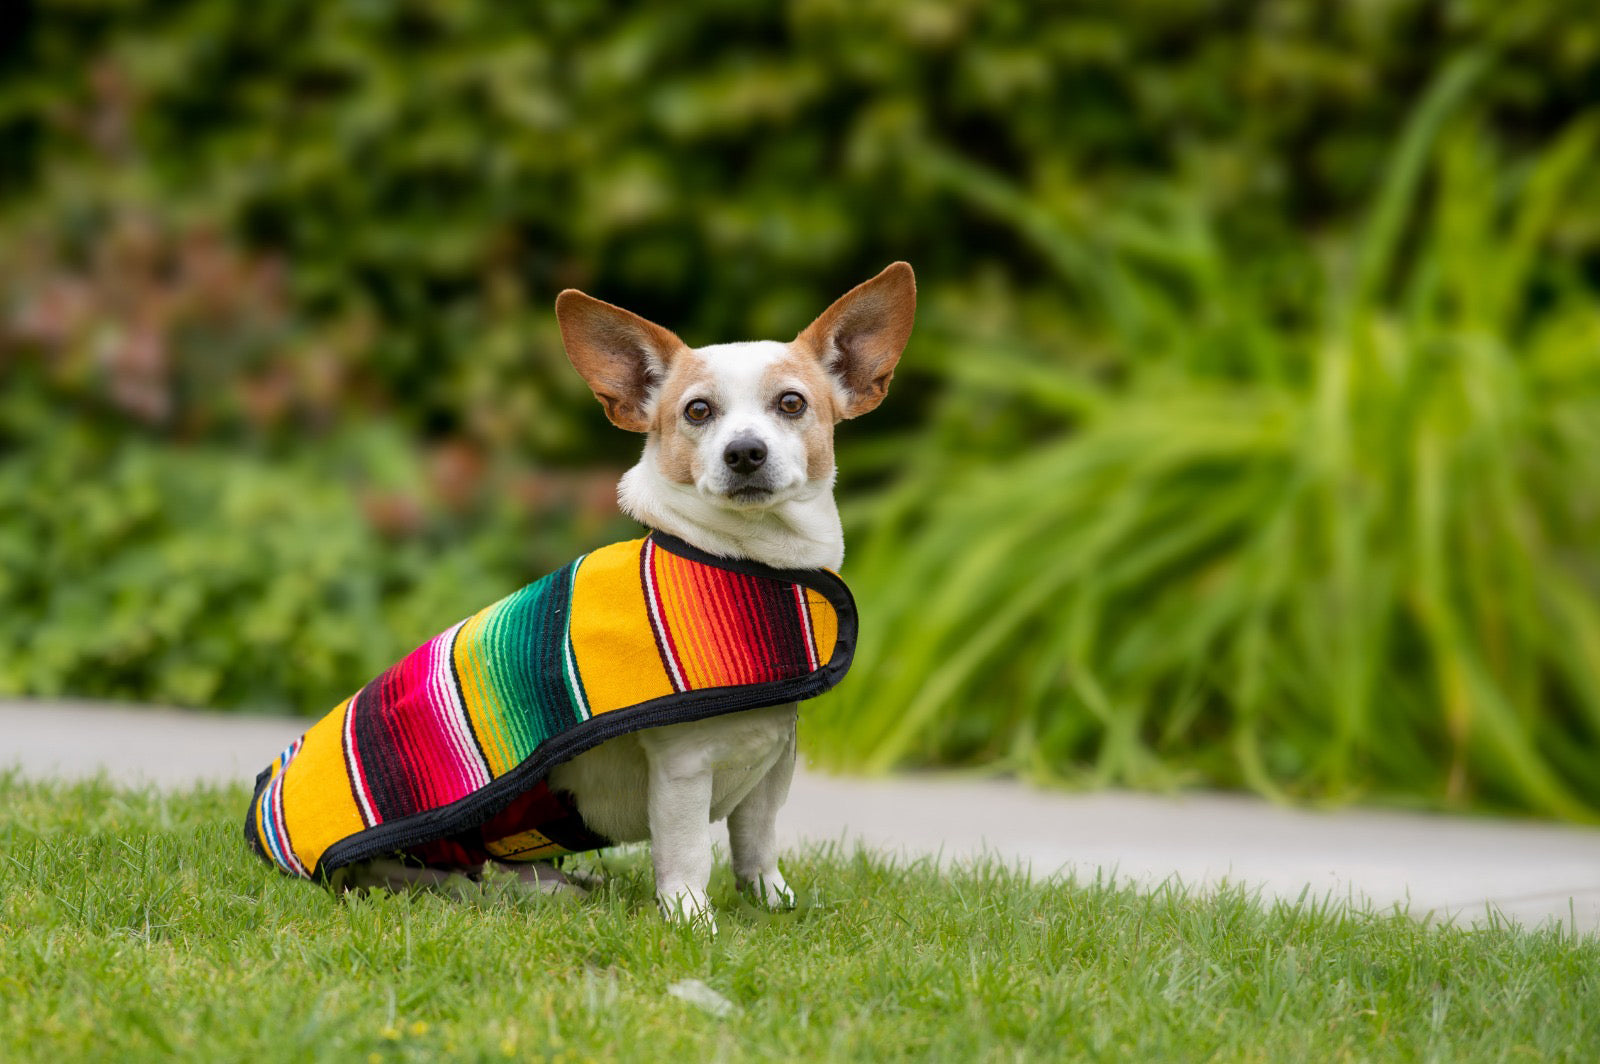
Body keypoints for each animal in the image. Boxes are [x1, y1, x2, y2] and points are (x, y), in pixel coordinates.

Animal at [257, 260, 921, 928]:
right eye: (697, 411)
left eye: (791, 403)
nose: (744, 452)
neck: (745, 561)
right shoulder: (682, 773)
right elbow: (687, 855)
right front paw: (692, 920)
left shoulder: (770, 769)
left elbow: (756, 844)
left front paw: (771, 902)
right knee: (407, 876)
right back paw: (523, 890)